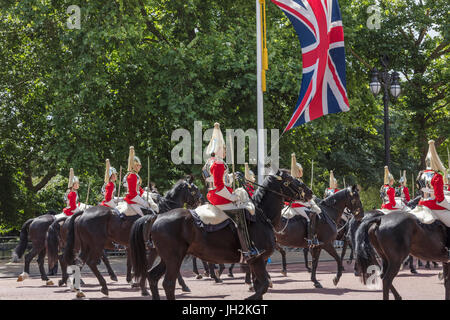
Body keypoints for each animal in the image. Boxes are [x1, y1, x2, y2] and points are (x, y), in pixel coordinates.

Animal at [63, 176, 202, 296]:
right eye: (195, 189)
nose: (200, 201)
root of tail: (83, 213)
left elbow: (142, 265)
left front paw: (138, 284)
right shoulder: (159, 249)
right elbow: (155, 266)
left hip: (87, 245)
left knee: (80, 261)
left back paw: (77, 286)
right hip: (96, 244)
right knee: (91, 262)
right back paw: (103, 286)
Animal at [130, 170, 312, 300]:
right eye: (290, 179)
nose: (310, 192)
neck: (261, 215)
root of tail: (157, 216)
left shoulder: (254, 261)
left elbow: (261, 286)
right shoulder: (257, 259)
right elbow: (263, 286)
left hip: (167, 257)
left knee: (153, 277)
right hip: (174, 257)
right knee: (168, 283)